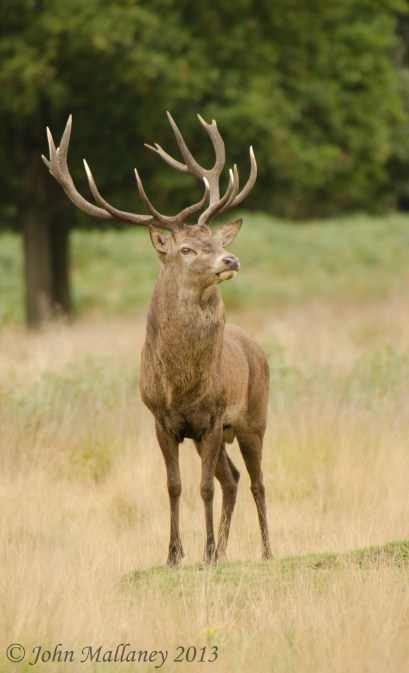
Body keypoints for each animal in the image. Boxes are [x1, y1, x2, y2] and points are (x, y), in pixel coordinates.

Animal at [42, 112, 272, 566]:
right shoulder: (161, 421)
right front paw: (175, 555)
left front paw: (203, 553)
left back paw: (267, 553)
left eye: (216, 240)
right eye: (186, 249)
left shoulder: (212, 418)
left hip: (254, 418)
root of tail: (258, 349)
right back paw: (225, 550)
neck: (182, 386)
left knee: (256, 482)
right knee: (234, 478)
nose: (231, 259)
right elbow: (175, 485)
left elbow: (203, 486)